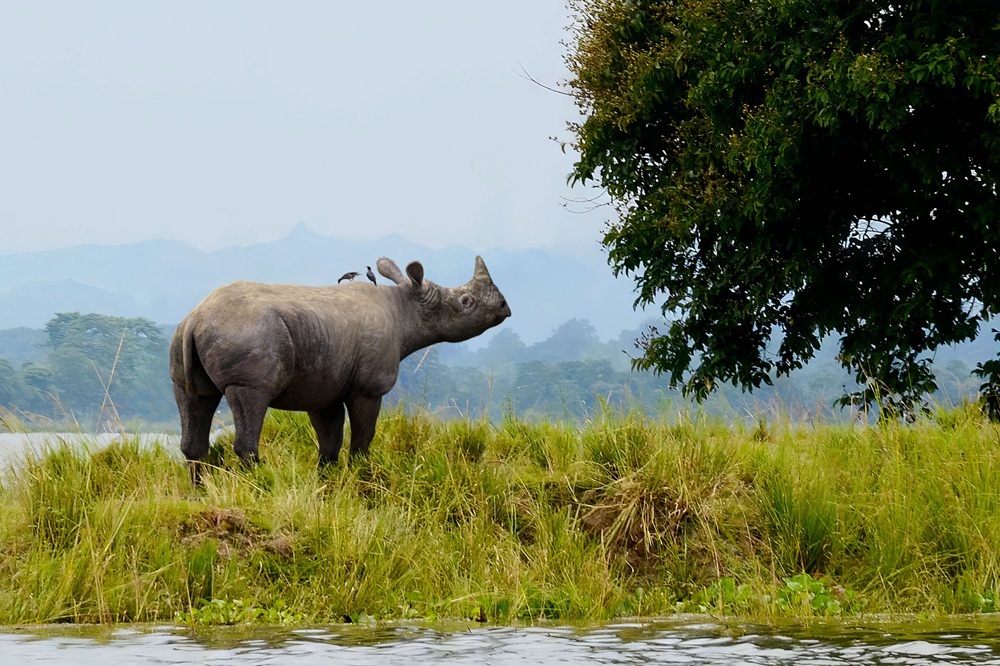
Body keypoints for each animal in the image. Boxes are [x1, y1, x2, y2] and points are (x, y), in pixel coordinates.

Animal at [169, 255, 510, 482]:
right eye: (465, 302)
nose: (505, 307)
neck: (407, 307)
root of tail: (196, 318)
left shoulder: (325, 385)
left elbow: (329, 441)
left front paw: (326, 482)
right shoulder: (369, 387)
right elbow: (363, 436)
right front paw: (361, 475)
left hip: (184, 341)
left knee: (193, 400)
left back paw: (201, 492)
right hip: (246, 336)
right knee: (251, 398)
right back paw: (261, 485)